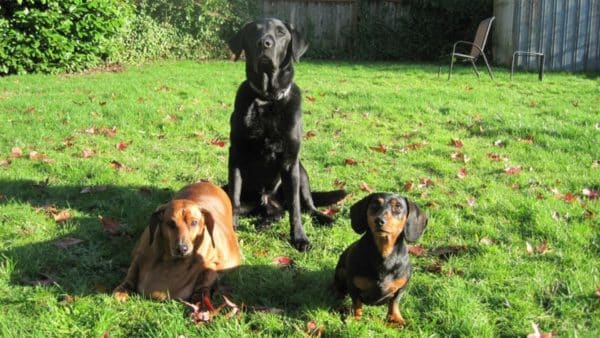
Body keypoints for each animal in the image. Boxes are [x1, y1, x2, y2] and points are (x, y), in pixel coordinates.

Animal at [225, 18, 346, 251]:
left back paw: (323, 218)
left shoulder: (290, 161)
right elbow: (233, 197)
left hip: (302, 171)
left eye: (281, 33)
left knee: (306, 206)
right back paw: (264, 222)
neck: (266, 99)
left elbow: (295, 208)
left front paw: (299, 238)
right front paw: (231, 230)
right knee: (273, 212)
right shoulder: (235, 155)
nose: (264, 43)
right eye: (253, 31)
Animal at [332, 194, 426, 326]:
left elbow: (395, 302)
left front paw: (395, 317)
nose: (379, 220)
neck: (384, 254)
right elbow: (357, 303)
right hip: (341, 272)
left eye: (398, 207)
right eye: (374, 205)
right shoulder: (353, 284)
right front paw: (356, 317)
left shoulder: (402, 287)